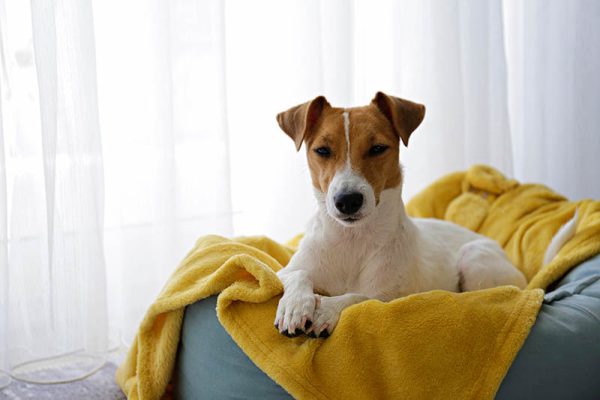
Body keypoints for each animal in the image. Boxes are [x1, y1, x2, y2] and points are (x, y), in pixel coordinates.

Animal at [272, 93, 524, 338]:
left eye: (377, 148)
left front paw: (326, 308)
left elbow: (358, 296)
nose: (348, 200)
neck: (352, 240)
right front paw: (295, 306)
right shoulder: (282, 271)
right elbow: (298, 274)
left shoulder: (391, 300)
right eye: (322, 150)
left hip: (475, 260)